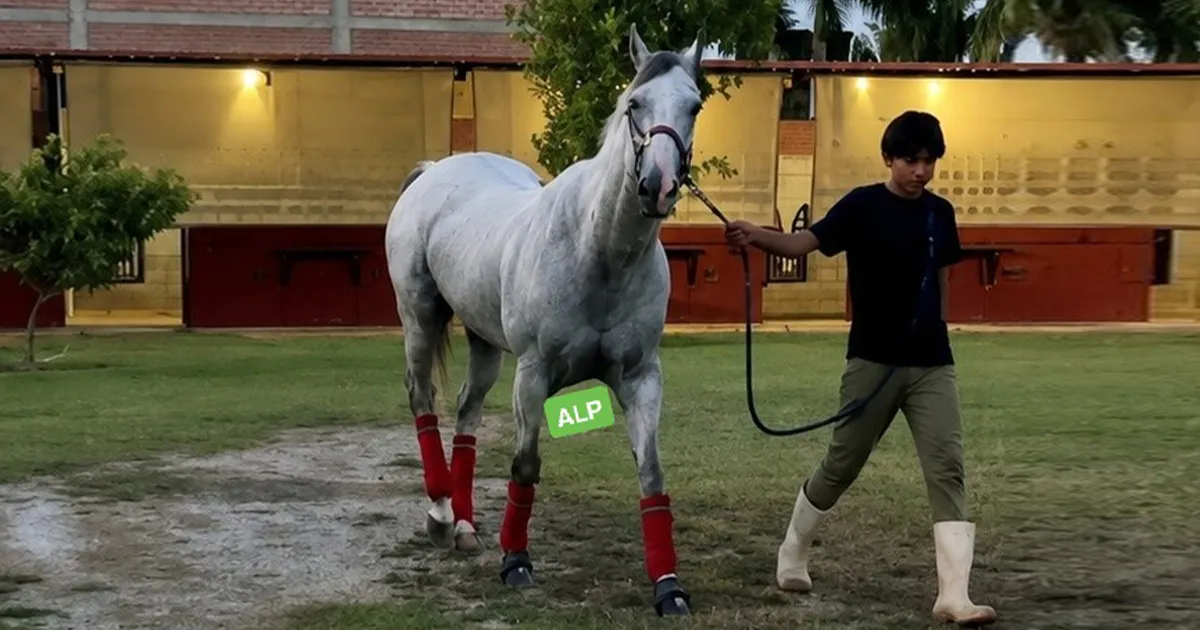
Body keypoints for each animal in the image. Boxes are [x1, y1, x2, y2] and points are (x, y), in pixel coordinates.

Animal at [383, 23, 704, 617]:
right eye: (635, 104)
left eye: (694, 105)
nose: (658, 185)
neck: (598, 251)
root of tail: (436, 171)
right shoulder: (532, 376)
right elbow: (525, 466)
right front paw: (515, 561)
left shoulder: (641, 378)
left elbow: (651, 475)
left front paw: (668, 586)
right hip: (419, 314)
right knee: (422, 400)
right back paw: (440, 513)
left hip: (484, 342)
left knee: (466, 414)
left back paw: (463, 525)